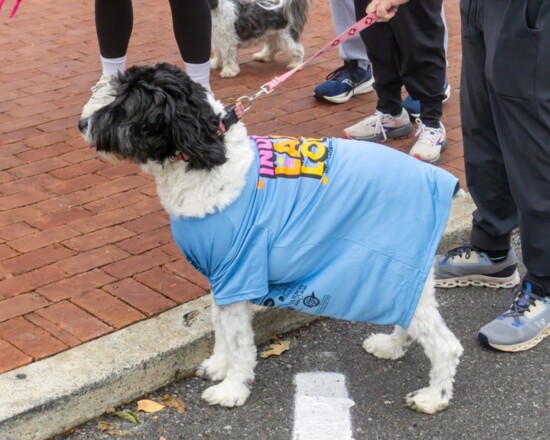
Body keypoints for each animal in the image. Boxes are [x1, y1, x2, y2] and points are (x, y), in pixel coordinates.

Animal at [80, 63, 464, 414]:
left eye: (127, 104)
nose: (82, 125)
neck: (207, 157)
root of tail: (447, 182)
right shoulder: (221, 274)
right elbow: (220, 324)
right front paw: (219, 365)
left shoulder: (238, 269)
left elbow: (239, 340)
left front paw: (232, 388)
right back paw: (391, 347)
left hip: (396, 266)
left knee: (446, 345)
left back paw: (433, 397)